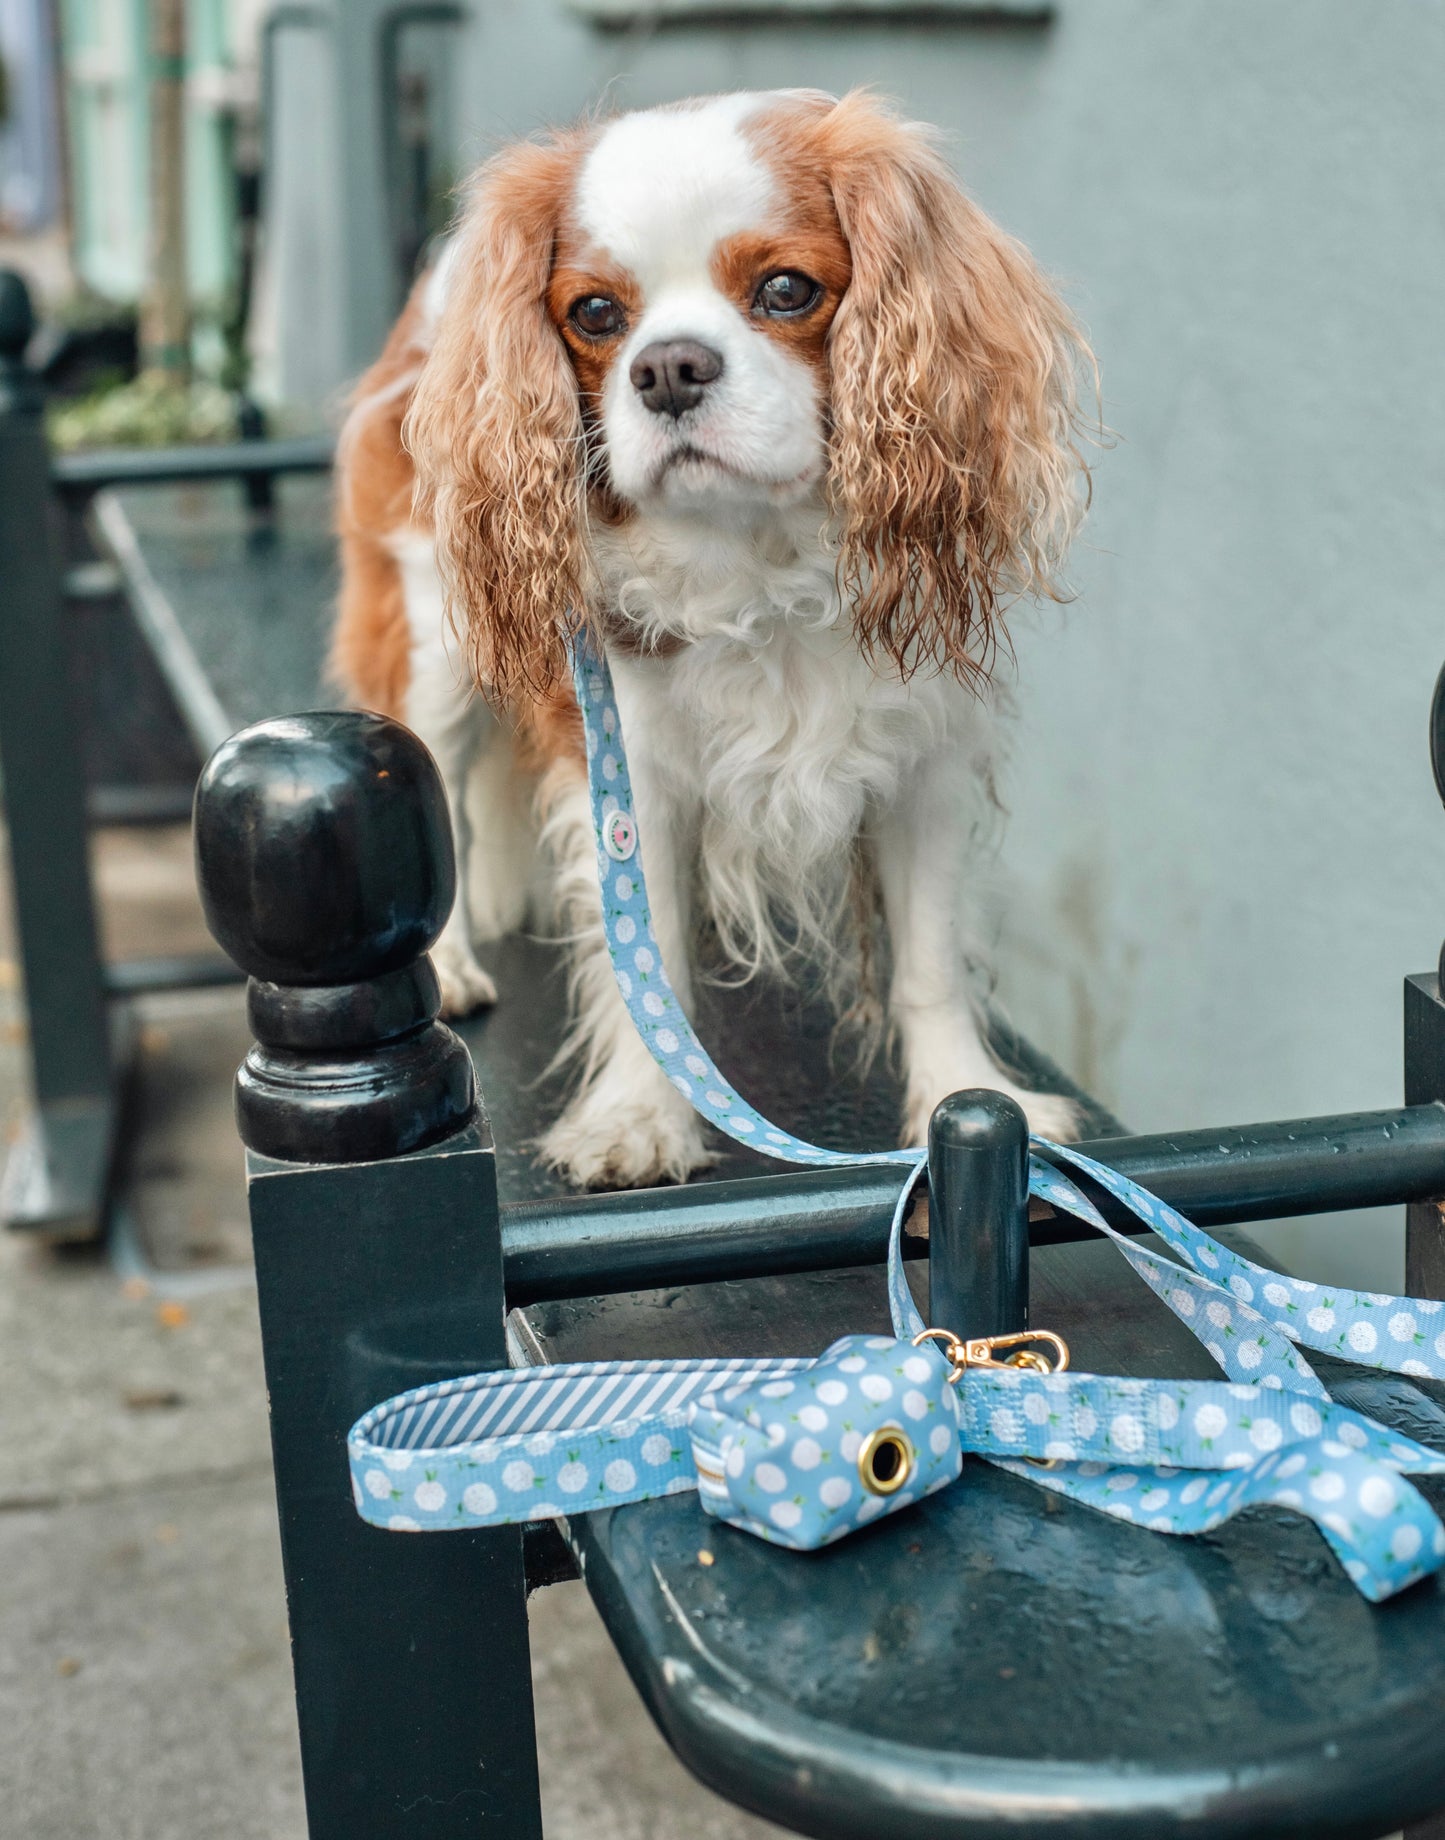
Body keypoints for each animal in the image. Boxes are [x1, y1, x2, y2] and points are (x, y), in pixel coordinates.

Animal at [329, 86, 1097, 1184]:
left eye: (784, 289)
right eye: (594, 314)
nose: (668, 368)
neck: (757, 562)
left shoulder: (926, 763)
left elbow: (929, 959)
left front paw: (963, 1095)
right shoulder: (627, 779)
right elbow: (647, 969)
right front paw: (639, 1118)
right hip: (431, 645)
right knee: (438, 771)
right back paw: (451, 962)